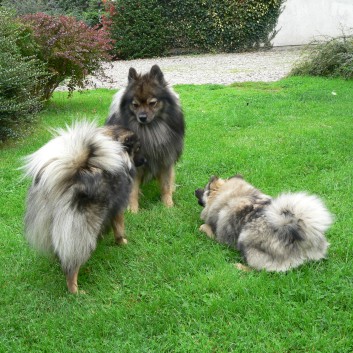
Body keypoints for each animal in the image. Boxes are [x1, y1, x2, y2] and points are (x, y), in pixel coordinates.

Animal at [22, 120, 143, 292]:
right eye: (137, 148)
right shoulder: (118, 208)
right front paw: (122, 242)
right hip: (80, 227)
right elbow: (119, 229)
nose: (144, 161)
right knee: (72, 267)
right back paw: (76, 291)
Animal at [106, 64, 184, 212]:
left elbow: (165, 185)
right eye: (135, 104)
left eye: (152, 103)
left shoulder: (166, 160)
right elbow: (133, 190)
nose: (142, 117)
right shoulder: (135, 165)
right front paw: (133, 210)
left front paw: (168, 206)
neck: (151, 131)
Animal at [194, 175, 332, 270]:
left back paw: (239, 266)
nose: (195, 190)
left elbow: (203, 226)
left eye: (204, 189)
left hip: (246, 240)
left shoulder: (219, 237)